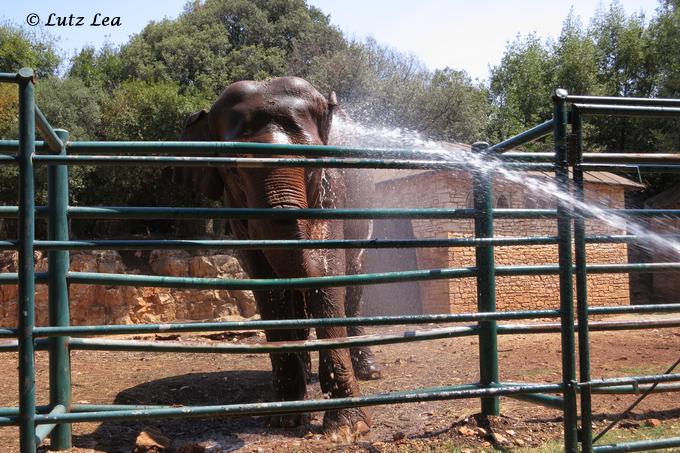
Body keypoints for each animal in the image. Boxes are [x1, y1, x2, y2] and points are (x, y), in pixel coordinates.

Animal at [173, 77, 380, 434]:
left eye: (314, 164)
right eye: (236, 172)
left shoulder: (334, 188)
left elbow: (330, 267)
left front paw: (347, 427)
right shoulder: (235, 210)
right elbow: (266, 281)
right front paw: (286, 417)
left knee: (354, 282)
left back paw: (367, 370)